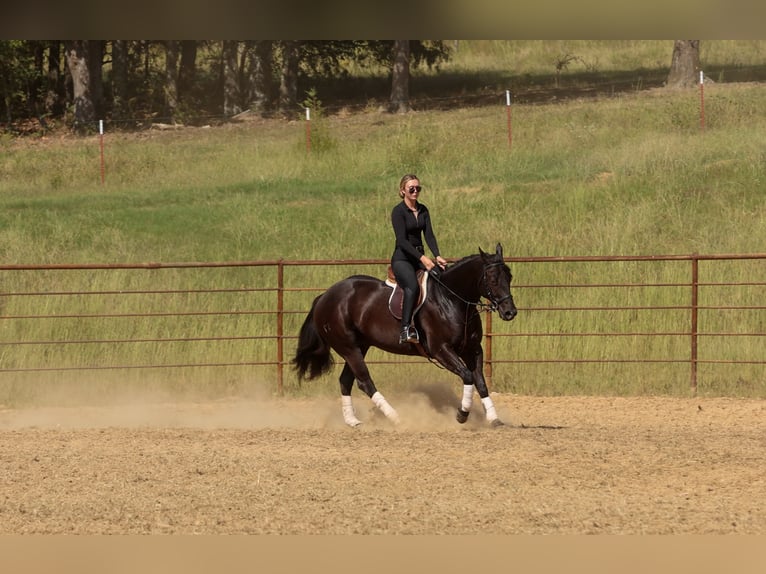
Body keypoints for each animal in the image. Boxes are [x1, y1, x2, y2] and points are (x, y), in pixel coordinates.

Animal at [291, 243, 517, 428]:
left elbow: (480, 382)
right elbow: (468, 376)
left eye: (509, 277)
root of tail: (325, 296)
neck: (451, 299)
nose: (510, 312)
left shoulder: (473, 349)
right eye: (493, 279)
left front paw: (494, 419)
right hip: (348, 348)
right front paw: (462, 414)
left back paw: (353, 421)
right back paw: (396, 418)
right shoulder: (441, 350)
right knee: (364, 381)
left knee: (346, 381)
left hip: (359, 347)